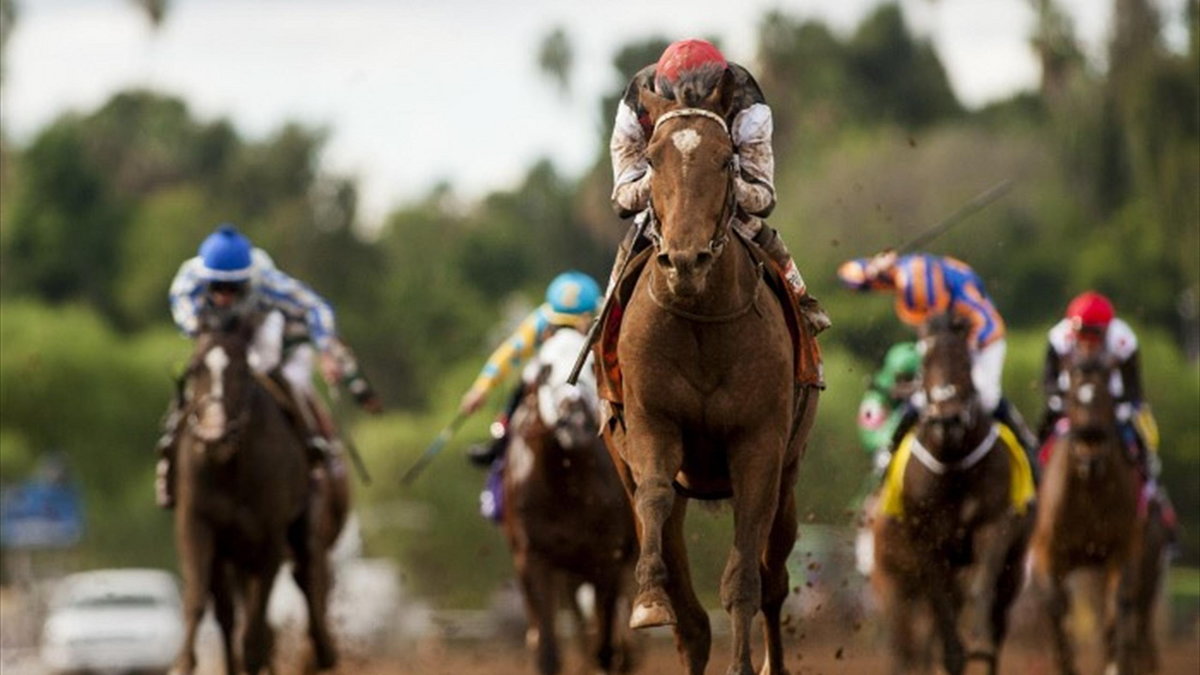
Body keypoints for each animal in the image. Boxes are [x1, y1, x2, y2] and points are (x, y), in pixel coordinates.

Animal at [170, 317, 348, 672]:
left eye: (243, 371)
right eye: (195, 368)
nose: (214, 435)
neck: (230, 468)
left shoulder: (270, 537)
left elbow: (258, 624)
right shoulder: (197, 524)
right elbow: (198, 599)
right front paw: (183, 663)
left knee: (308, 578)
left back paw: (322, 653)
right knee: (230, 613)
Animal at [501, 326, 643, 672]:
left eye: (592, 365)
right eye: (544, 369)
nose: (575, 419)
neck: (567, 487)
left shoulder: (608, 556)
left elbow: (605, 647)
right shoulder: (534, 557)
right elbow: (548, 651)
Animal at [604, 73, 820, 672]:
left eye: (726, 160)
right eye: (652, 159)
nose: (685, 260)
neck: (700, 317)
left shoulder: (760, 447)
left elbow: (745, 578)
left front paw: (745, 664)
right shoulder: (651, 424)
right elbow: (656, 495)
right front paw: (649, 599)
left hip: (790, 476)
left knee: (773, 580)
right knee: (693, 622)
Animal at [868, 314, 1036, 672]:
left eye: (965, 361)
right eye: (926, 361)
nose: (947, 419)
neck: (952, 463)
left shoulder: (994, 524)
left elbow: (981, 588)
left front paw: (979, 643)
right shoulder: (925, 541)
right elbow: (939, 602)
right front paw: (954, 655)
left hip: (1014, 564)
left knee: (998, 612)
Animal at [1027, 353, 1147, 672]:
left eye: (1106, 396)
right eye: (1071, 396)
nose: (1089, 447)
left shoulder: (1122, 548)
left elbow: (1116, 607)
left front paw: (1114, 665)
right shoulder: (1048, 551)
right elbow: (1056, 607)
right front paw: (1065, 663)